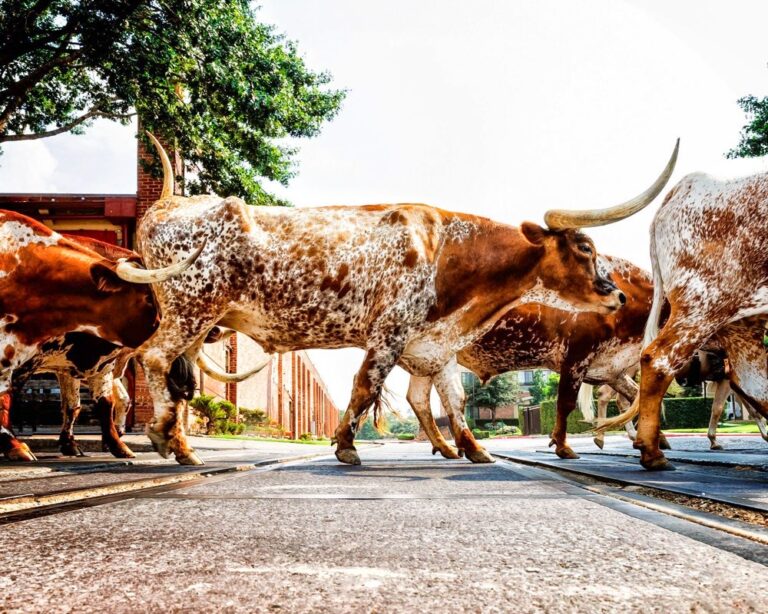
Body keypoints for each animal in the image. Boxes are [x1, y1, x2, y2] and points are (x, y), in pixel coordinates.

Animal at [0, 210, 203, 461]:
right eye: (150, 298)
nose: (189, 386)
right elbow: (7, 399)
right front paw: (14, 446)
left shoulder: (88, 363)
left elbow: (91, 404)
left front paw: (109, 444)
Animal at [122, 134, 677, 466]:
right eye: (585, 249)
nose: (616, 293)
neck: (446, 250)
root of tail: (167, 205)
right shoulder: (389, 332)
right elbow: (365, 386)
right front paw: (346, 446)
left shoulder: (436, 344)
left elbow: (451, 401)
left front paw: (474, 449)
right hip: (192, 307)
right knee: (153, 358)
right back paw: (165, 438)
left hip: (200, 321)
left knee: (176, 373)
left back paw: (178, 444)